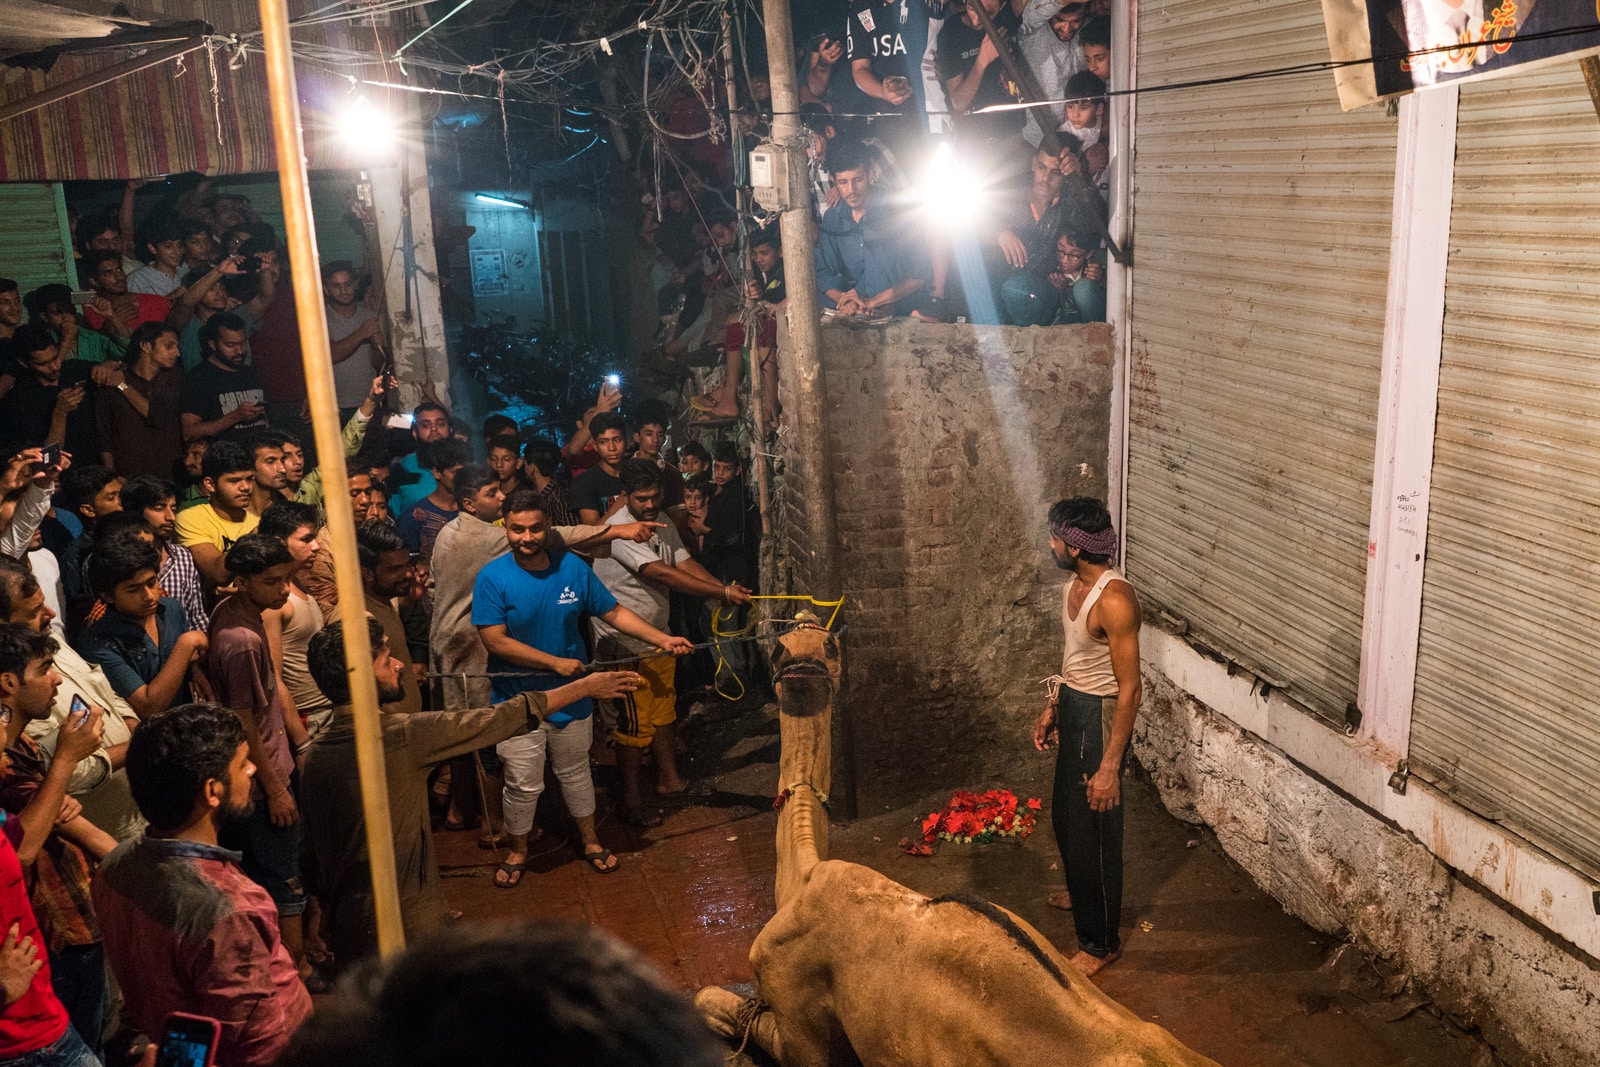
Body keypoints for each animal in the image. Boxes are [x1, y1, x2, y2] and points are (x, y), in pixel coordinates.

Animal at [694, 617, 1216, 1067]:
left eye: (826, 642)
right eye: (790, 639)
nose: (803, 617)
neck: (804, 877)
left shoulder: (789, 990)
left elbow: (717, 1001)